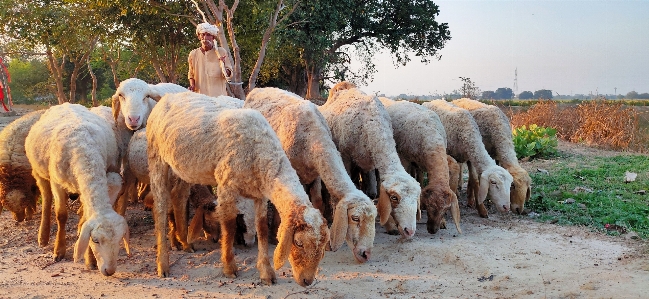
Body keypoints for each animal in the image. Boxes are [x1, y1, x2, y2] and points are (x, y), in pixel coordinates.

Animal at [25, 103, 129, 276]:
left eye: (120, 239)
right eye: (95, 240)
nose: (109, 271)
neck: (84, 153)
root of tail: (65, 104)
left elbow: (86, 216)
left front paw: (90, 259)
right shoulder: (57, 183)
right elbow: (61, 215)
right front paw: (59, 250)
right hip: (39, 172)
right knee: (46, 198)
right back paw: (43, 236)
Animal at [147, 91, 330, 286]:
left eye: (322, 246)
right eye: (299, 243)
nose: (307, 281)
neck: (262, 152)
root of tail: (167, 96)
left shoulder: (260, 194)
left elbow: (262, 228)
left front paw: (266, 272)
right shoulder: (226, 185)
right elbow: (229, 226)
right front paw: (229, 268)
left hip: (185, 167)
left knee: (179, 196)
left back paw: (186, 243)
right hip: (156, 156)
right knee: (160, 206)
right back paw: (163, 264)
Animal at [244, 88, 378, 264]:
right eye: (355, 218)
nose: (366, 254)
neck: (313, 136)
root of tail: (257, 89)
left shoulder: (316, 174)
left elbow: (318, 202)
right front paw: (275, 237)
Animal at [318, 82, 420, 241]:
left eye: (417, 198)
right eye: (394, 198)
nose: (409, 231)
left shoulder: (370, 163)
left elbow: (373, 192)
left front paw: (389, 226)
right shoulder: (345, 158)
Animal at [378, 98, 464, 234]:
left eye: (446, 209)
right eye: (428, 206)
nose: (432, 230)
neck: (433, 142)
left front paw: (443, 222)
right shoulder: (404, 159)